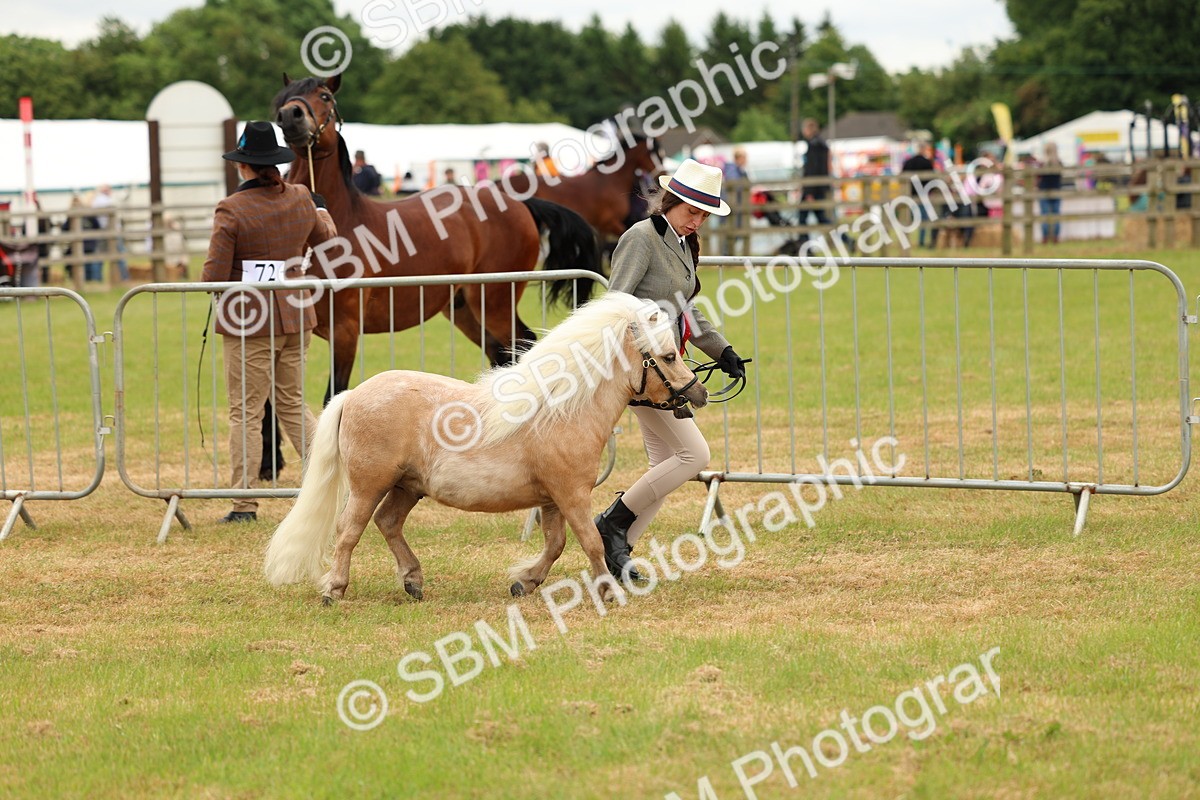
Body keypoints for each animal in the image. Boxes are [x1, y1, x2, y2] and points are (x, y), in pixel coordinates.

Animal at [262, 292, 708, 604]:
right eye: (669, 356)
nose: (698, 393)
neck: (562, 409)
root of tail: (353, 395)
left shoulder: (552, 500)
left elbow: (556, 545)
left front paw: (525, 582)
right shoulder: (572, 495)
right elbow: (589, 542)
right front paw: (608, 593)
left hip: (408, 486)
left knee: (388, 523)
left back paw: (413, 581)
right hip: (369, 485)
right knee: (348, 531)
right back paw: (334, 590)